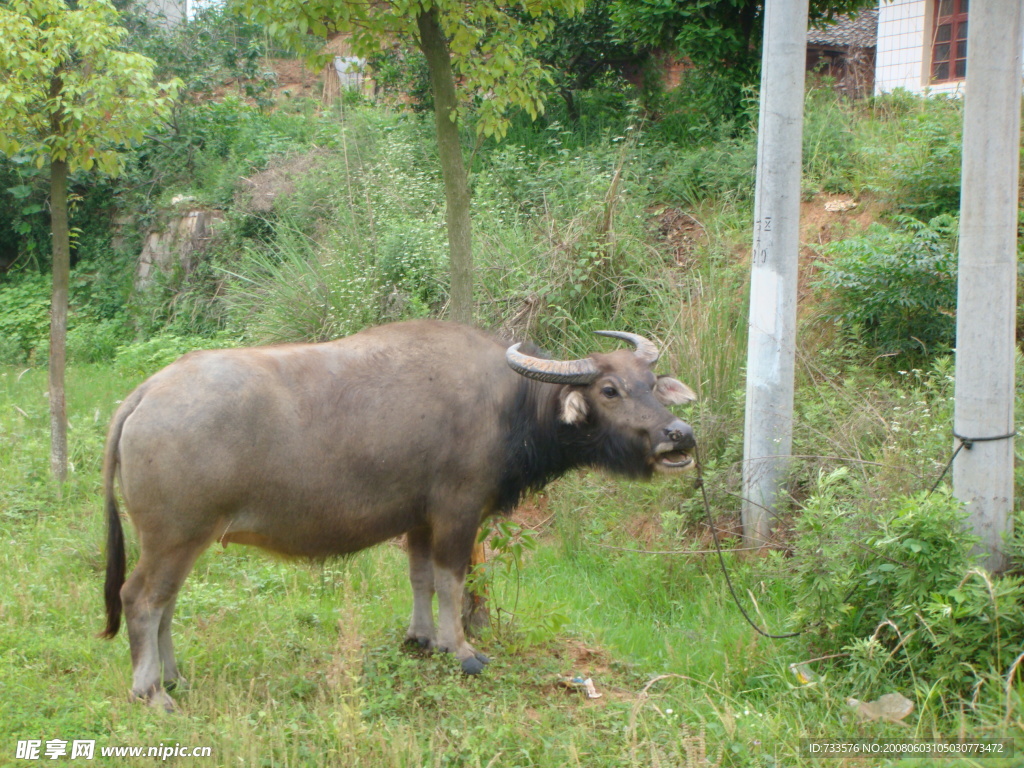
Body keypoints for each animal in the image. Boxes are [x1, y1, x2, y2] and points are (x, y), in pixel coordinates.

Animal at [99, 319, 692, 708]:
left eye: (652, 385)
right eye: (609, 389)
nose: (678, 434)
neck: (508, 405)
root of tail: (145, 393)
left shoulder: (419, 520)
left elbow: (421, 578)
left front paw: (420, 638)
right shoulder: (457, 513)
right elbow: (453, 581)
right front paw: (462, 650)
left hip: (183, 540)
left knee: (165, 605)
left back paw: (174, 678)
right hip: (173, 537)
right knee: (141, 600)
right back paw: (151, 691)